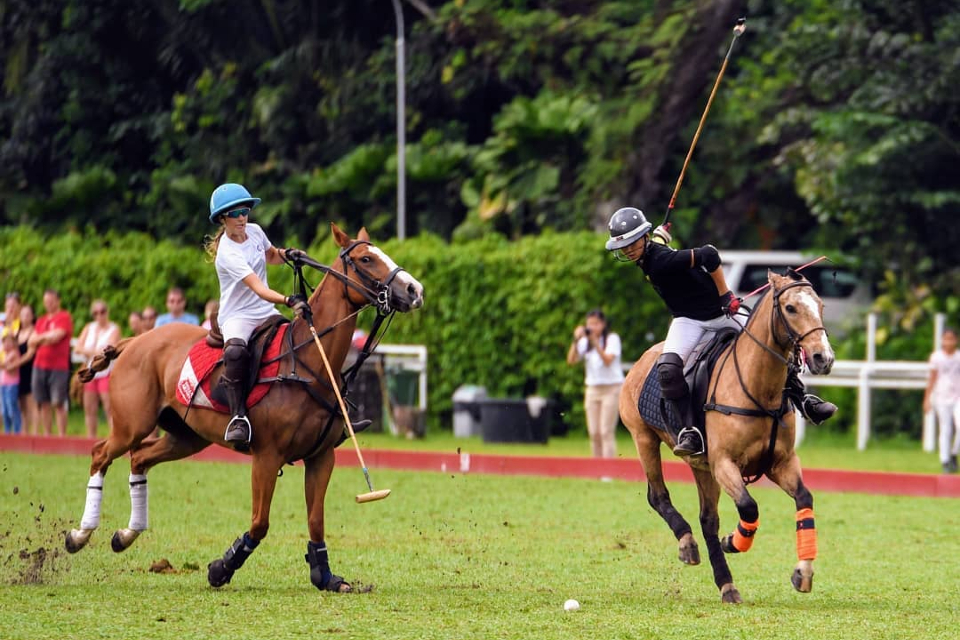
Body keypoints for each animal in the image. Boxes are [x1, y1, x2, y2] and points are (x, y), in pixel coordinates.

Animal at [63, 222, 424, 592]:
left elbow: (315, 520)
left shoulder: (322, 456)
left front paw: (326, 576)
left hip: (186, 436)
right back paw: (79, 535)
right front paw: (220, 568)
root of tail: (135, 340)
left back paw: (125, 535)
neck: (310, 361)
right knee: (100, 454)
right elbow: (260, 523)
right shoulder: (267, 456)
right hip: (131, 423)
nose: (415, 289)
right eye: (366, 259)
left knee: (140, 458)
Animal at [624, 268, 832, 604]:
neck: (759, 389)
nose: (822, 358)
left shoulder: (781, 462)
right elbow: (749, 506)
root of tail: (643, 358)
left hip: (701, 467)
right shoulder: (724, 463)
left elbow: (804, 499)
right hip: (643, 437)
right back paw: (688, 545)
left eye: (820, 305)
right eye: (790, 308)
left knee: (707, 518)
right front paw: (733, 542)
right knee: (658, 495)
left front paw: (803, 572)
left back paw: (726, 584)